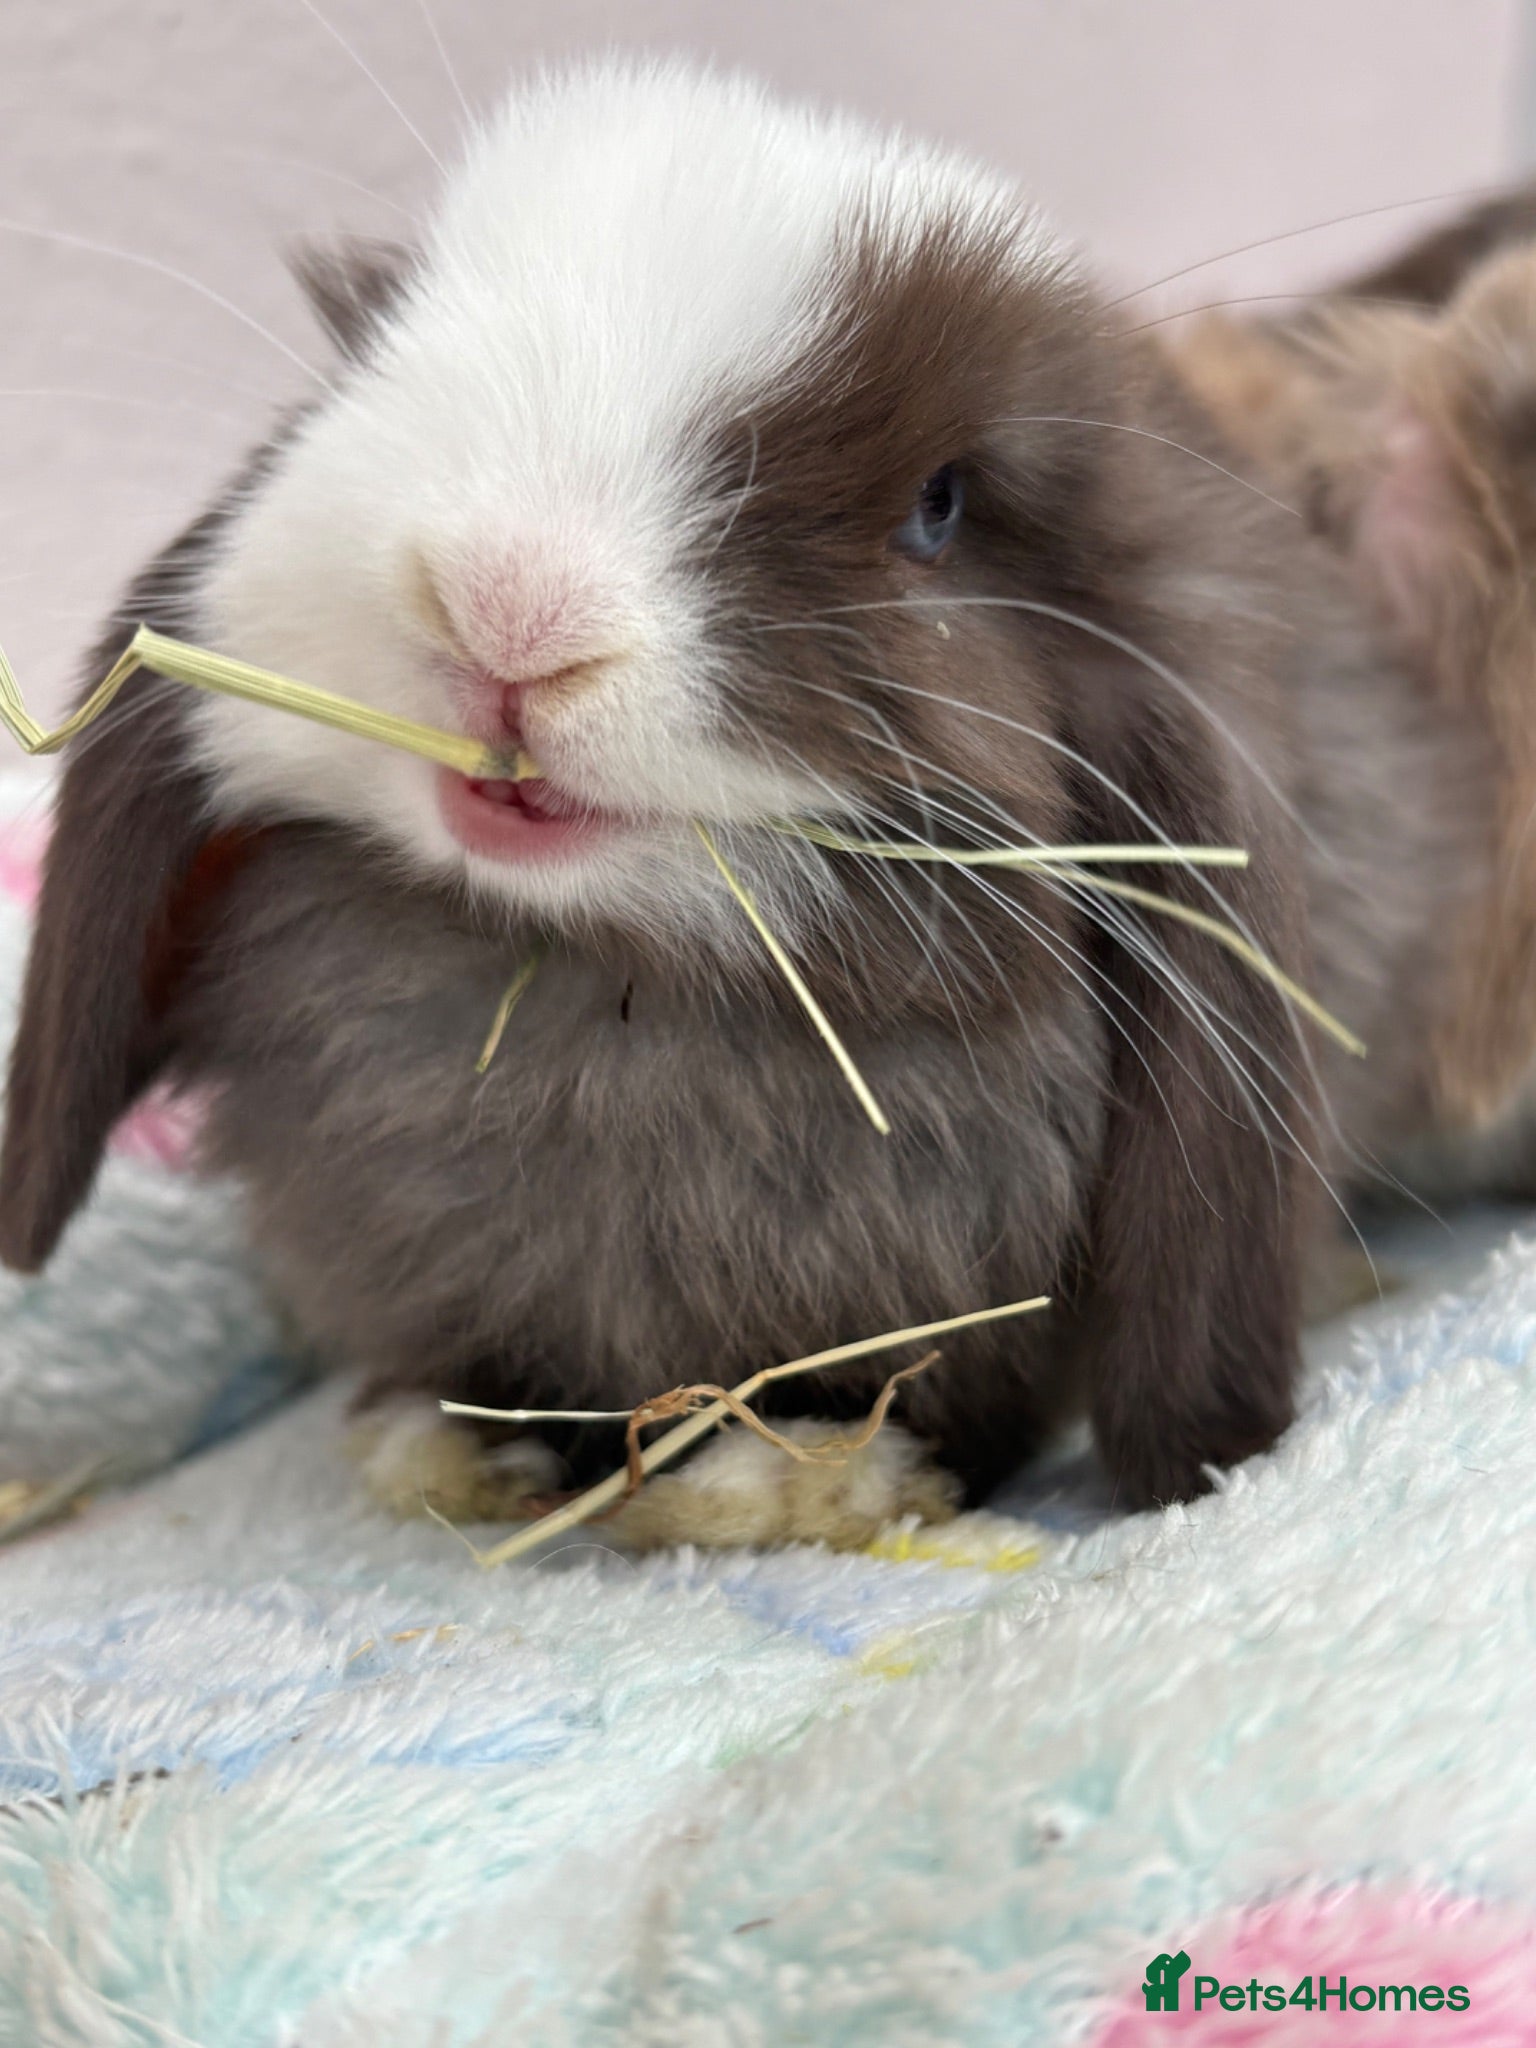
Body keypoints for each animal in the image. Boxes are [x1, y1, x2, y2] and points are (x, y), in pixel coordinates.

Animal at [0, 60, 1500, 1523]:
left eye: (939, 507)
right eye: (381, 344)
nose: (511, 601)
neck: (590, 979)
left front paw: (800, 1483)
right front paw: (437, 1448)